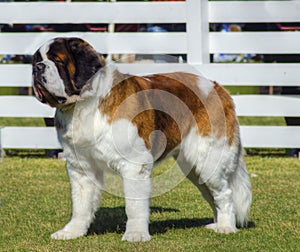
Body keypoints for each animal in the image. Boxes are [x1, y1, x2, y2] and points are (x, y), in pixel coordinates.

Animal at [31, 37, 252, 242]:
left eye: (57, 60)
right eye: (37, 59)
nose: (37, 67)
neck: (85, 104)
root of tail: (217, 88)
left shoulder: (134, 165)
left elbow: (134, 204)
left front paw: (135, 234)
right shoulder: (80, 166)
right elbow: (81, 204)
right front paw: (72, 231)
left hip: (209, 160)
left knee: (224, 193)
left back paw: (226, 227)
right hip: (193, 168)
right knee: (211, 194)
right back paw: (217, 224)